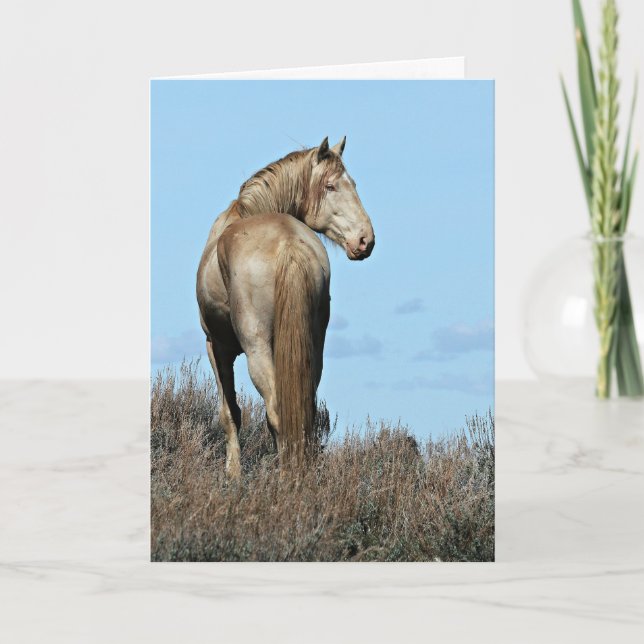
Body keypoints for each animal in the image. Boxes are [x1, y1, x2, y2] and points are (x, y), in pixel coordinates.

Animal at [196, 136, 375, 478]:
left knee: (276, 411)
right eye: (331, 185)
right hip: (312, 345)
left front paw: (233, 474)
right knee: (304, 410)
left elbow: (230, 413)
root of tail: (288, 243)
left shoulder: (216, 345)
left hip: (255, 348)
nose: (365, 240)